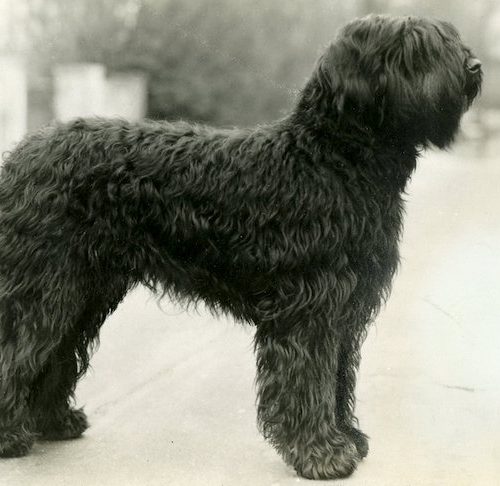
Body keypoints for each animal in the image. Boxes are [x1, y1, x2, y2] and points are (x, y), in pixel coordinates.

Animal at [0, 14, 480, 478]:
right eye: (415, 49)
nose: (474, 68)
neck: (330, 161)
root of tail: (20, 155)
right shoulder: (309, 309)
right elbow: (310, 381)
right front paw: (321, 454)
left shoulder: (345, 308)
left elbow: (338, 379)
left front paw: (346, 439)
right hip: (44, 288)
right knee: (19, 349)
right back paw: (11, 436)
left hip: (82, 293)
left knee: (55, 354)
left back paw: (52, 422)